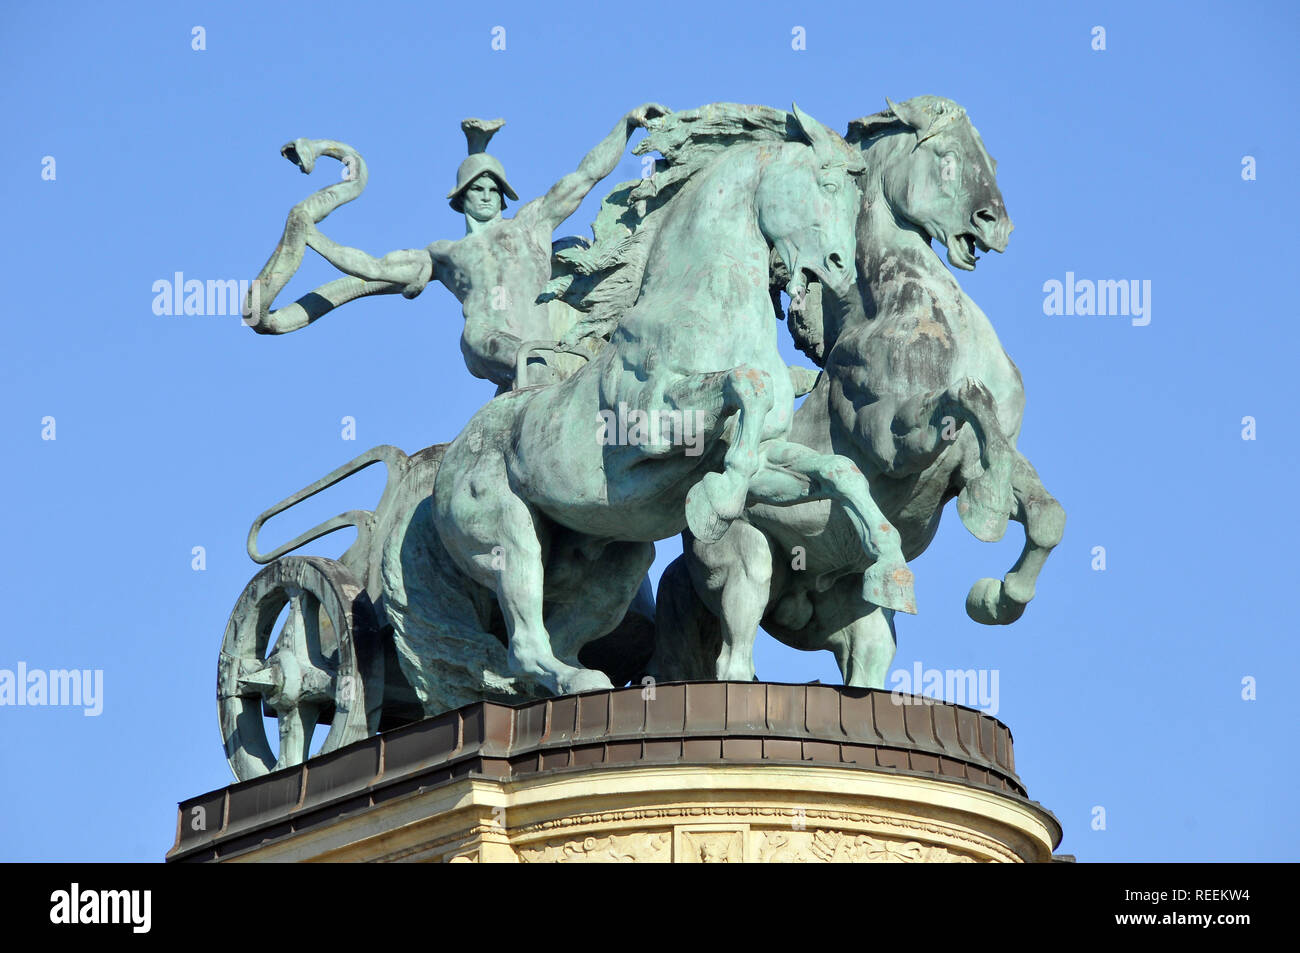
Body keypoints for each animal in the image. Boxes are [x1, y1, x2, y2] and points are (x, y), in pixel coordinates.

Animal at [434, 104, 915, 696]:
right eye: (825, 184)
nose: (840, 268)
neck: (708, 308)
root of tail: (450, 457)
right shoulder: (653, 430)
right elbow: (746, 386)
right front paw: (717, 504)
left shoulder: (768, 458)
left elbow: (837, 469)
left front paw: (891, 571)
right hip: (508, 536)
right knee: (524, 644)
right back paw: (576, 680)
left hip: (614, 562)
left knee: (555, 638)